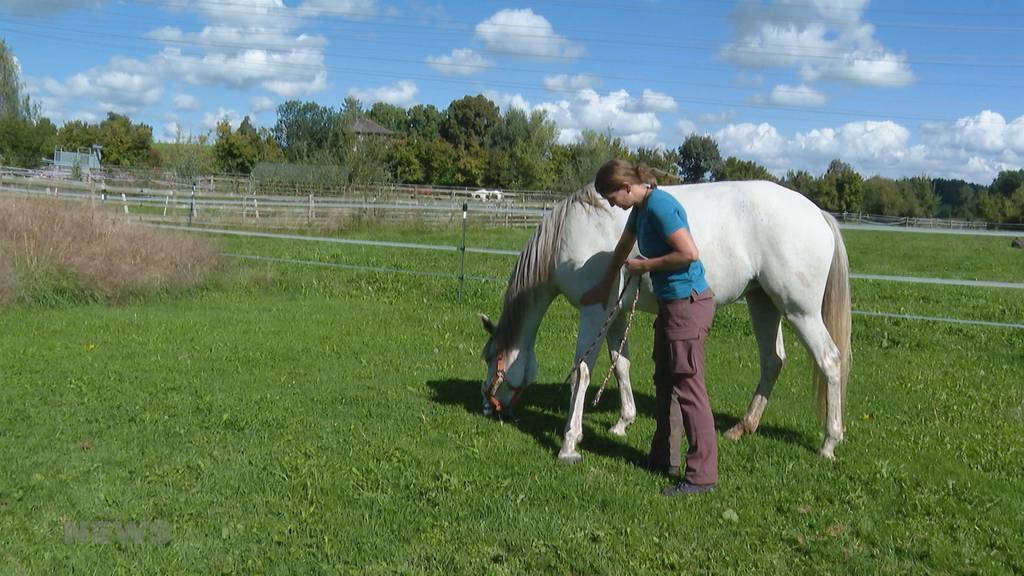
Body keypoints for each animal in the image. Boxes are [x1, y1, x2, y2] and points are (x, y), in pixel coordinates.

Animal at [483, 181, 851, 459]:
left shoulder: (594, 313)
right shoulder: (617, 316)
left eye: (491, 359)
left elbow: (582, 372)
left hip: (799, 311)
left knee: (830, 361)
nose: (488, 408)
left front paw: (570, 441)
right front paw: (623, 422)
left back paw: (828, 443)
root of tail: (817, 212)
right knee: (772, 361)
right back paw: (742, 427)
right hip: (764, 304)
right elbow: (620, 365)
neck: (573, 230)